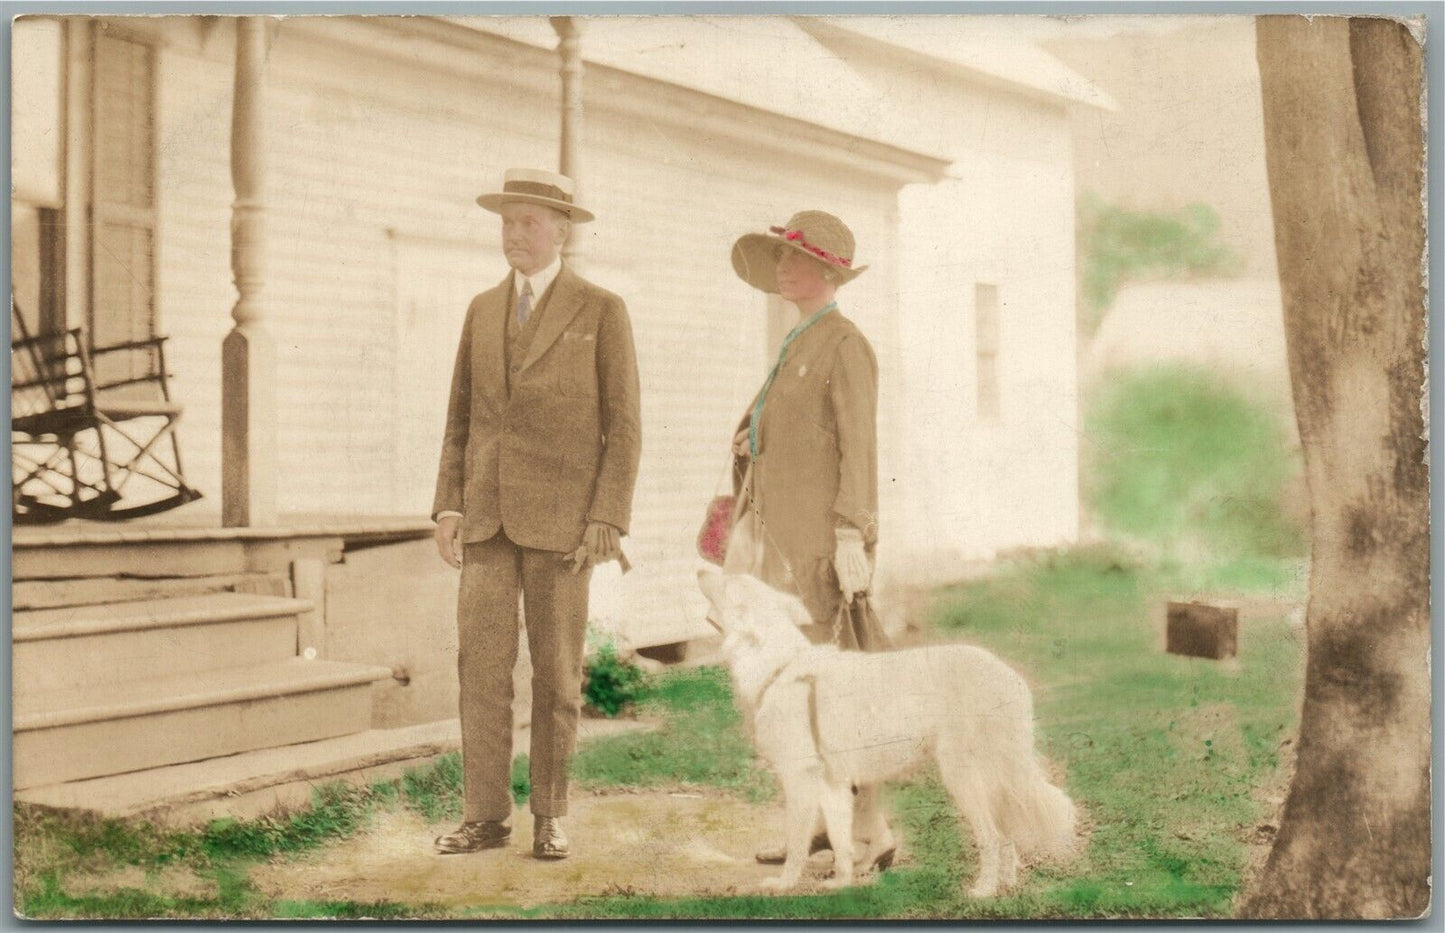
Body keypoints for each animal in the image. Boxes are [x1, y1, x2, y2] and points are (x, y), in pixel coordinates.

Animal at [693, 569, 1080, 901]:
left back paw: (983, 890)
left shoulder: (799, 781)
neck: (779, 667)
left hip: (964, 778)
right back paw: (1006, 884)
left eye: (727, 582)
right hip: (997, 781)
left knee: (991, 836)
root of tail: (1010, 679)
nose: (699, 571)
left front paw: (785, 884)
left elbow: (798, 843)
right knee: (1007, 833)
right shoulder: (833, 786)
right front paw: (841, 884)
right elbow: (841, 841)